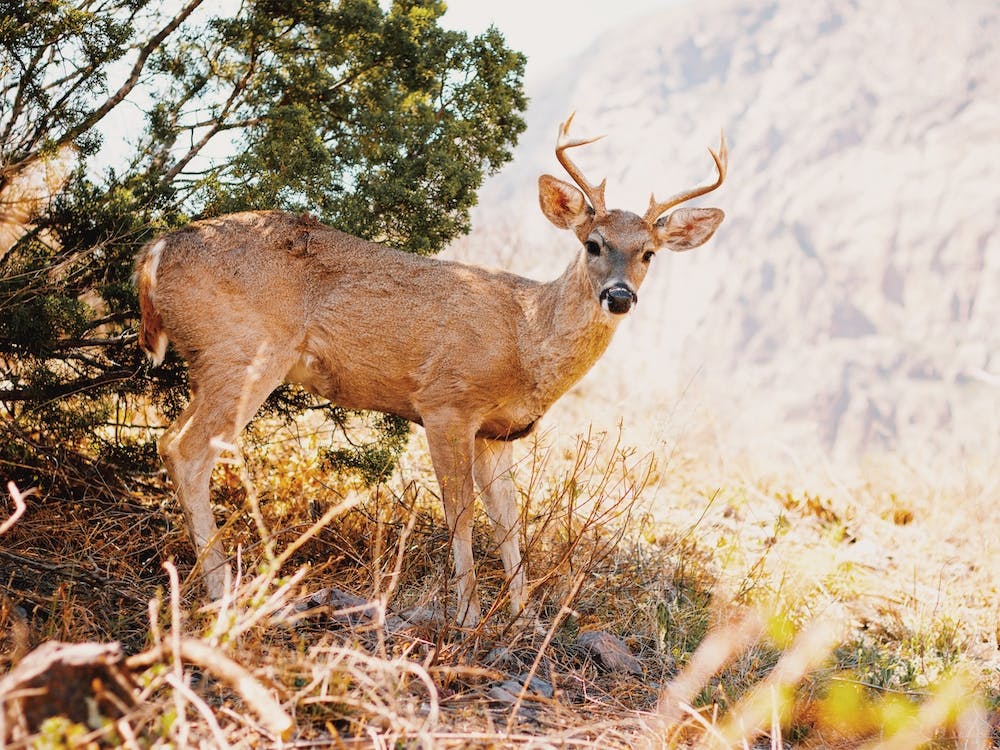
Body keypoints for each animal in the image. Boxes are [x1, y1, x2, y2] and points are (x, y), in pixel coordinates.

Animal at [135, 114, 726, 628]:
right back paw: (220, 591)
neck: (526, 338)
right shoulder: (446, 403)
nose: (619, 296)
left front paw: (524, 619)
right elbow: (460, 513)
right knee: (184, 449)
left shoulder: (499, 433)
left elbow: (509, 520)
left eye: (649, 253)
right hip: (242, 352)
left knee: (171, 441)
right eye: (593, 244)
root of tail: (156, 250)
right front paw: (466, 616)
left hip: (217, 360)